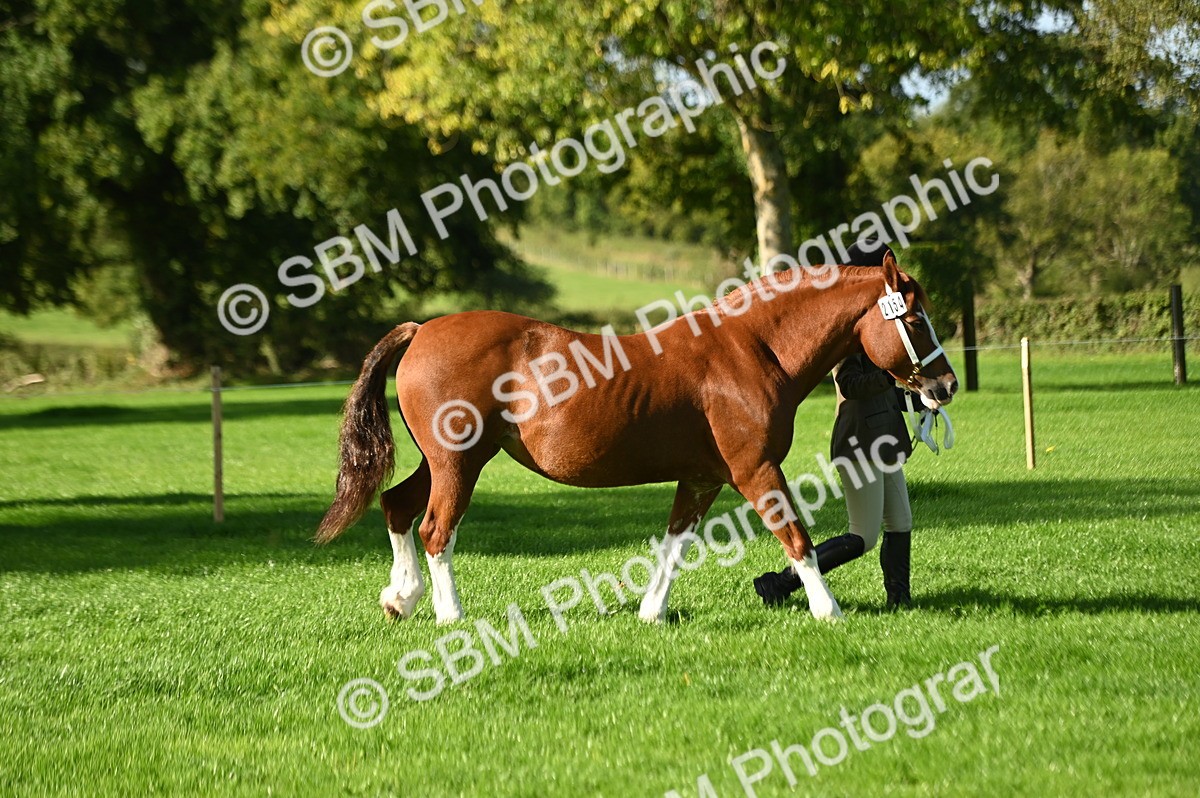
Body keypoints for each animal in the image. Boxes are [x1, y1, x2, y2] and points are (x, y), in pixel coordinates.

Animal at [315, 251, 957, 623]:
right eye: (914, 318)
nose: (946, 384)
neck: (752, 348)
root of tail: (422, 329)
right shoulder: (755, 471)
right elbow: (795, 535)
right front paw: (829, 612)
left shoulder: (701, 479)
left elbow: (674, 543)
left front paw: (651, 612)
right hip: (459, 463)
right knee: (435, 529)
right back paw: (449, 616)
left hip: (444, 461)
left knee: (397, 505)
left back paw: (401, 599)